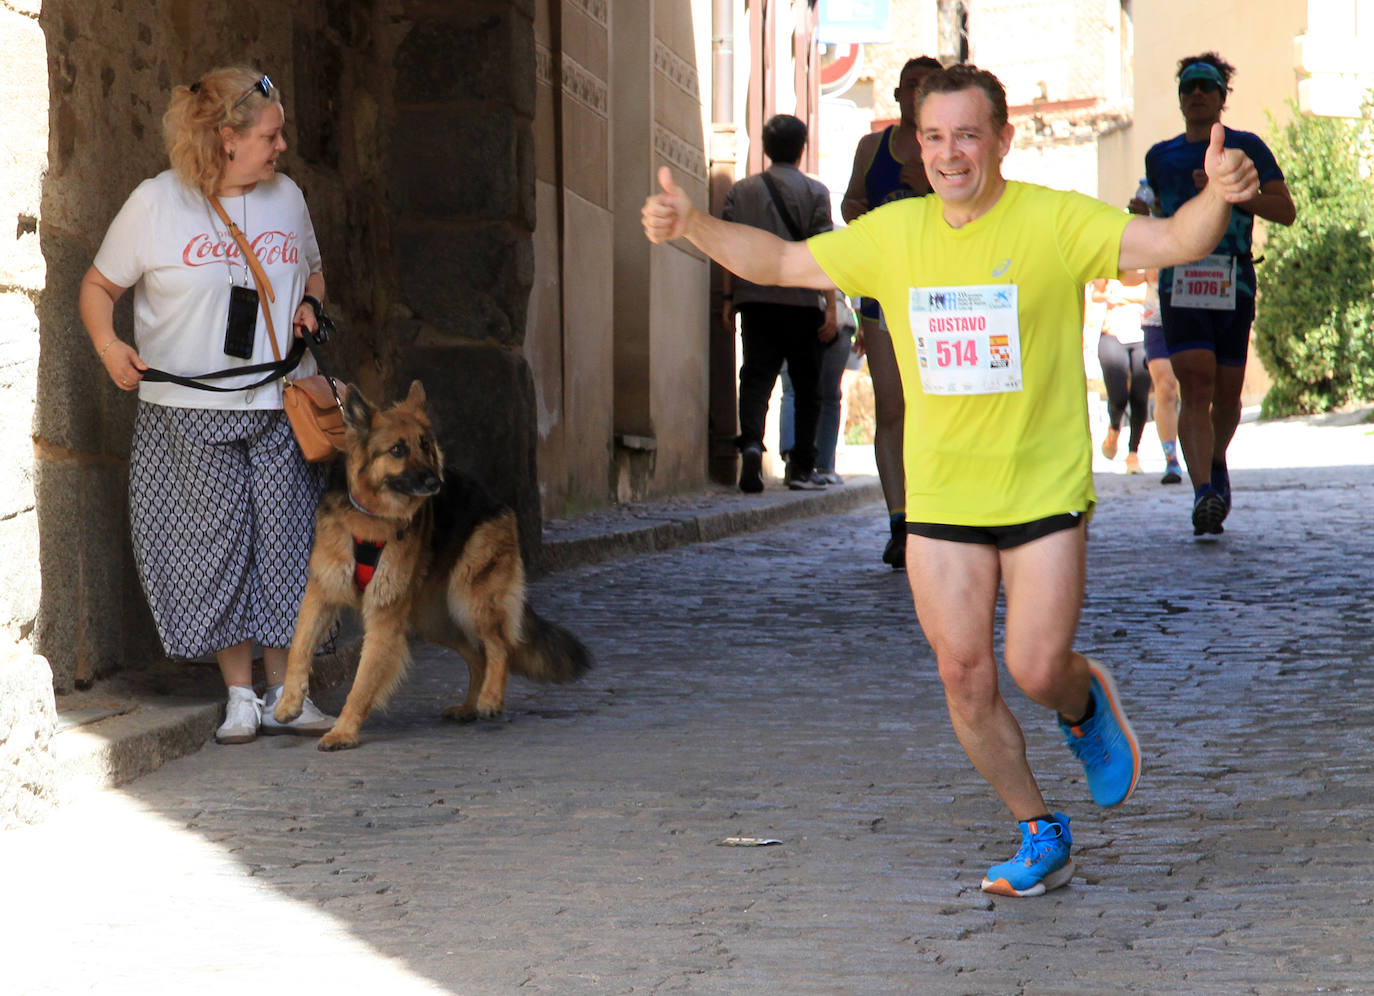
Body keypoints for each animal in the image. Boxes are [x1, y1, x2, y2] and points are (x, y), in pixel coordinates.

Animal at [273, 381, 590, 747]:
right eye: (397, 450)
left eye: (426, 446)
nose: (435, 482)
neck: (371, 517)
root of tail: (492, 499)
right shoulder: (321, 594)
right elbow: (298, 649)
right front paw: (289, 703)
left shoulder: (384, 616)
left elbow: (362, 682)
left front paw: (344, 731)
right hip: (433, 618)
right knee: (477, 654)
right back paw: (469, 706)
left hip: (471, 599)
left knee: (499, 646)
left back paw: (490, 699)